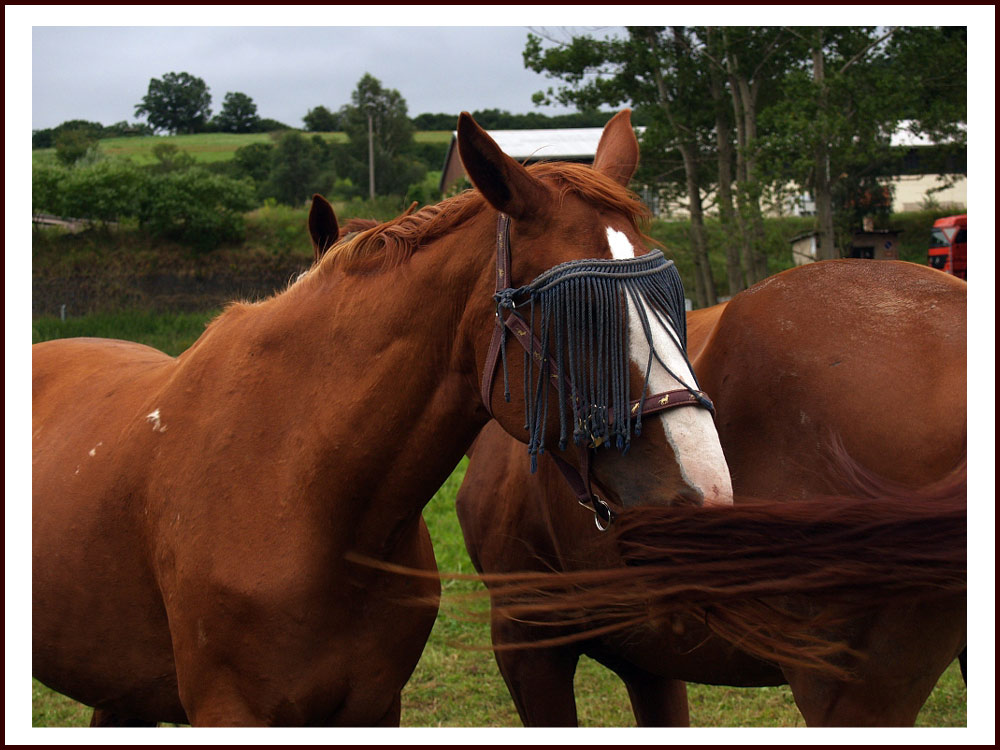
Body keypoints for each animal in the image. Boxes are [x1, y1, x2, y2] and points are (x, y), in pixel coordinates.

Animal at [33, 108, 736, 724]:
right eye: (577, 314)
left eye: (673, 298)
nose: (705, 505)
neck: (298, 490)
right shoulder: (231, 711)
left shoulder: (372, 706)